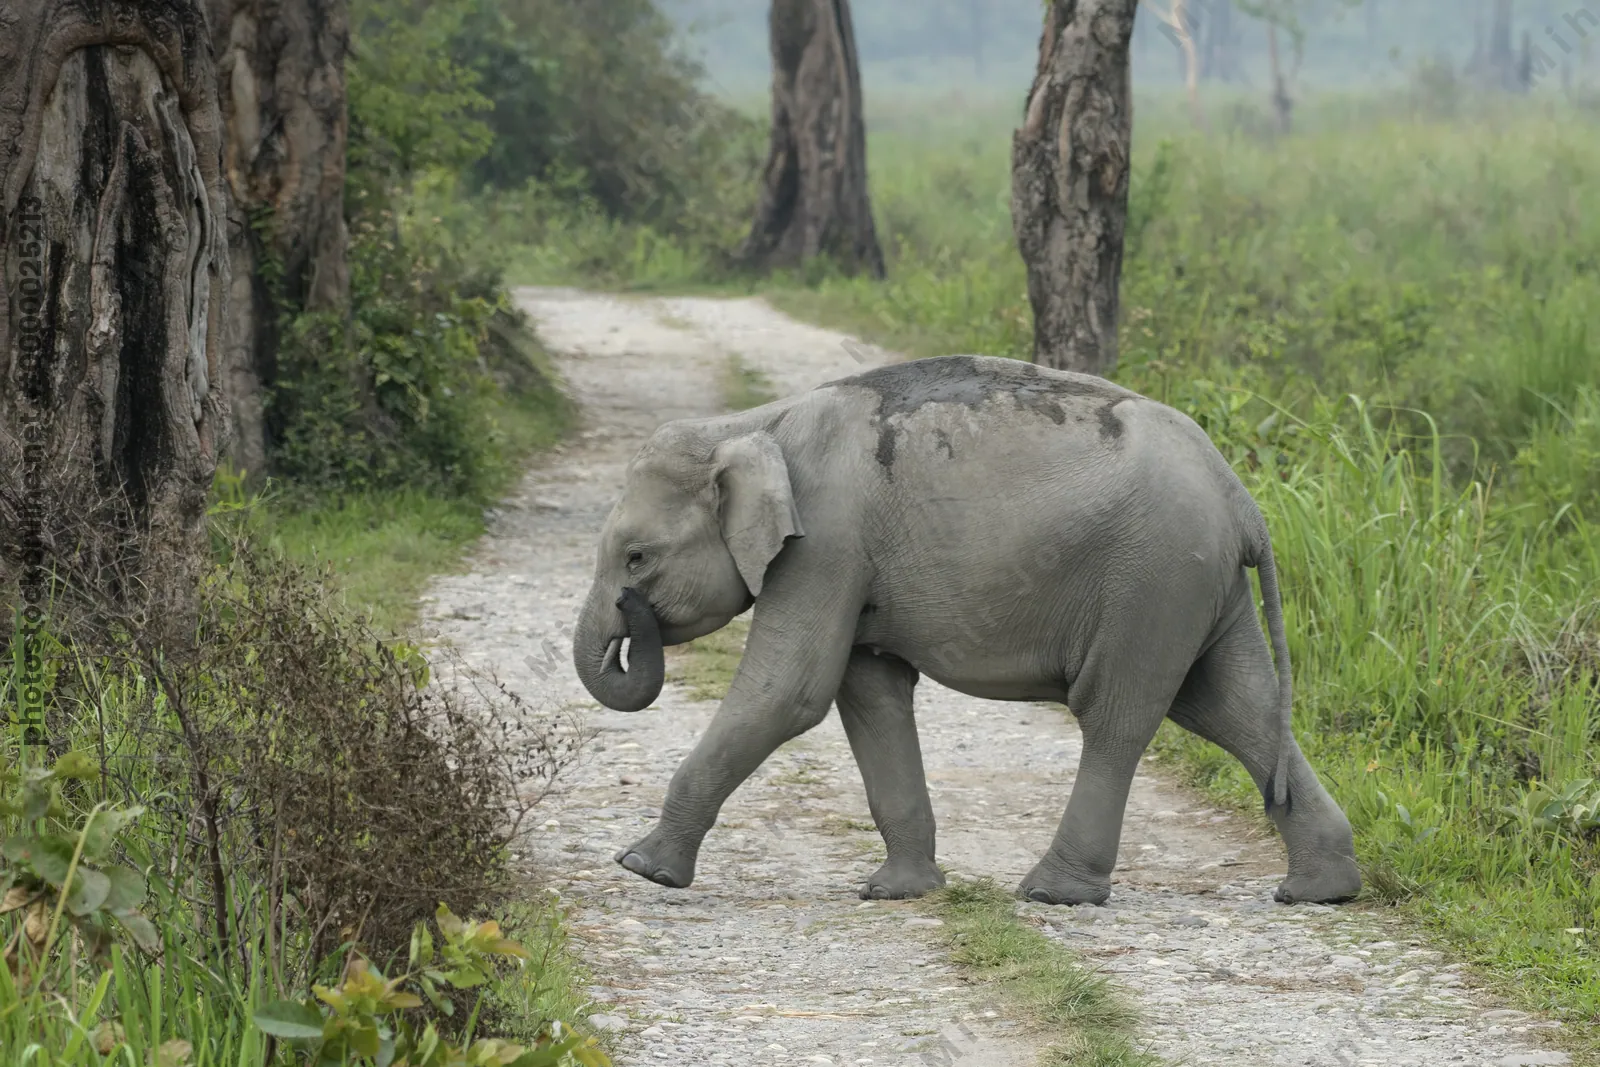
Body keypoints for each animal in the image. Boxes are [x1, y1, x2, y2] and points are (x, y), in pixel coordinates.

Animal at [571, 354, 1361, 907]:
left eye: (636, 556)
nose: (629, 616)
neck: (749, 424)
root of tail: (1243, 500)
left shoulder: (825, 541)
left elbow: (788, 691)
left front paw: (641, 868)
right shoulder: (847, 559)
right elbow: (870, 692)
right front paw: (897, 891)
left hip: (1155, 577)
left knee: (1117, 716)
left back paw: (1053, 893)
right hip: (1198, 585)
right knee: (1234, 707)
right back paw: (1319, 892)